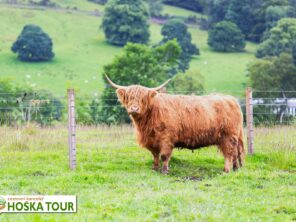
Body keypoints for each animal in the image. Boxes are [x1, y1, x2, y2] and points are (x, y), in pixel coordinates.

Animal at [106, 74, 245, 173]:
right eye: (129, 97)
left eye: (143, 99)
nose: (134, 109)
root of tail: (231, 99)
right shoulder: (152, 140)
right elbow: (155, 155)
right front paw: (155, 168)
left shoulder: (166, 138)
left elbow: (164, 156)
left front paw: (165, 171)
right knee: (235, 153)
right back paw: (236, 169)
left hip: (228, 136)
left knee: (229, 153)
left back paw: (226, 170)